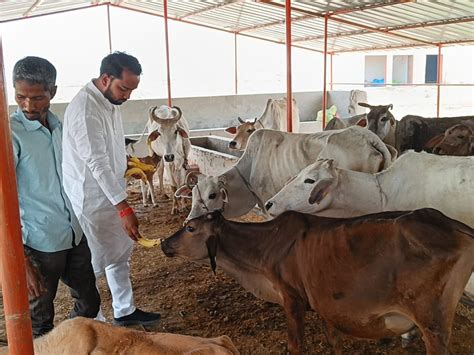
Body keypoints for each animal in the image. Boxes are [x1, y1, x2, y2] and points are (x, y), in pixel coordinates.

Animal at [163, 209, 474, 355]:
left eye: (190, 227)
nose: (164, 243)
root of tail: (452, 223)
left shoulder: (292, 299)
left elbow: (295, 345)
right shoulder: (326, 303)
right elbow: (333, 340)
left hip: (433, 323)